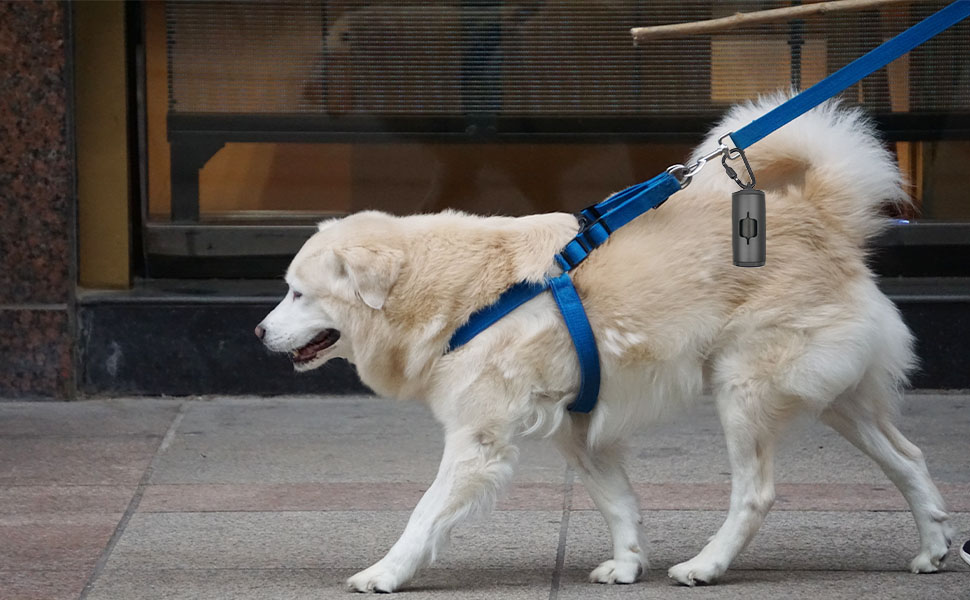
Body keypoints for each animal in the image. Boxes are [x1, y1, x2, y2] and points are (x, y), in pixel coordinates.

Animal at [258, 98, 952, 592]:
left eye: (297, 294)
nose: (259, 332)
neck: (457, 289)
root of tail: (819, 214)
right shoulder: (577, 428)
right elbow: (619, 503)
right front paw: (626, 565)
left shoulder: (477, 442)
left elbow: (423, 515)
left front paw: (385, 573)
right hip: (838, 399)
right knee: (910, 458)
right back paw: (936, 547)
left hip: (745, 392)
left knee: (756, 494)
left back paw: (707, 566)